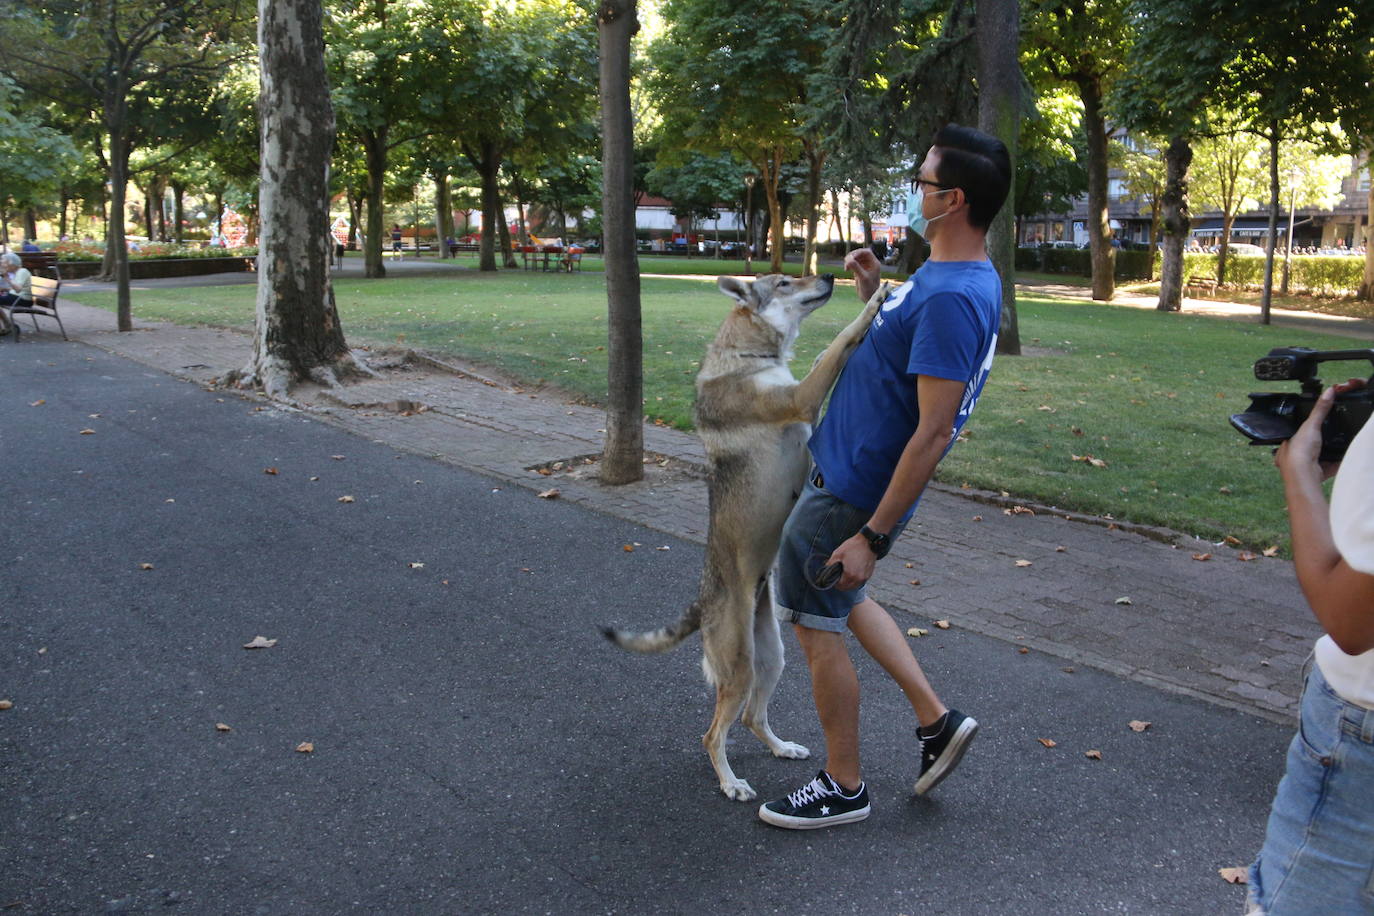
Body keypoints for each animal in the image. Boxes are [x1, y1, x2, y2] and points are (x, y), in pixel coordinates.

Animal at [604, 271, 884, 802]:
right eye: (785, 281)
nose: (829, 274)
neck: (751, 357)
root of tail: (702, 602)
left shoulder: (804, 402)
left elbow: (827, 352)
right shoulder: (801, 399)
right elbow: (841, 342)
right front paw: (877, 299)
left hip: (771, 660)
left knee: (754, 719)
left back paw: (782, 748)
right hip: (739, 668)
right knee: (712, 735)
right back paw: (731, 783)